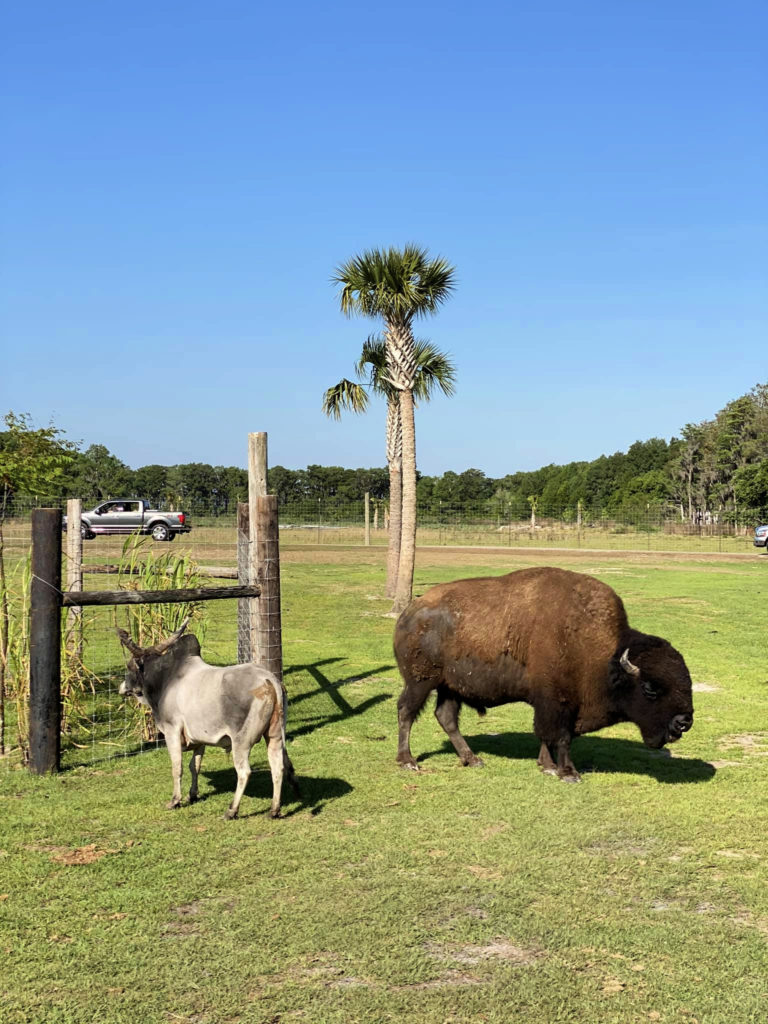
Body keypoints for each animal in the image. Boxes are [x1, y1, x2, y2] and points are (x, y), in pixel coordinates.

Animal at [117, 618, 296, 819]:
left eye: (129, 666)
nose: (122, 688)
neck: (166, 679)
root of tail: (269, 680)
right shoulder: (199, 738)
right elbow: (194, 766)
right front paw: (192, 795)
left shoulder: (171, 730)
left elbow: (177, 767)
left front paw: (175, 800)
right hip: (274, 735)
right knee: (277, 766)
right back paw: (274, 810)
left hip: (241, 740)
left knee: (244, 771)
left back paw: (232, 810)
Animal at [397, 569, 696, 774]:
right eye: (650, 688)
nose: (684, 722)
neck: (603, 653)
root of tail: (409, 612)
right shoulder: (556, 702)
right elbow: (559, 737)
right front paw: (567, 772)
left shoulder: (557, 705)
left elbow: (549, 736)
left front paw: (548, 766)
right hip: (420, 682)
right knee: (406, 712)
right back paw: (408, 761)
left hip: (450, 687)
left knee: (446, 717)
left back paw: (472, 759)